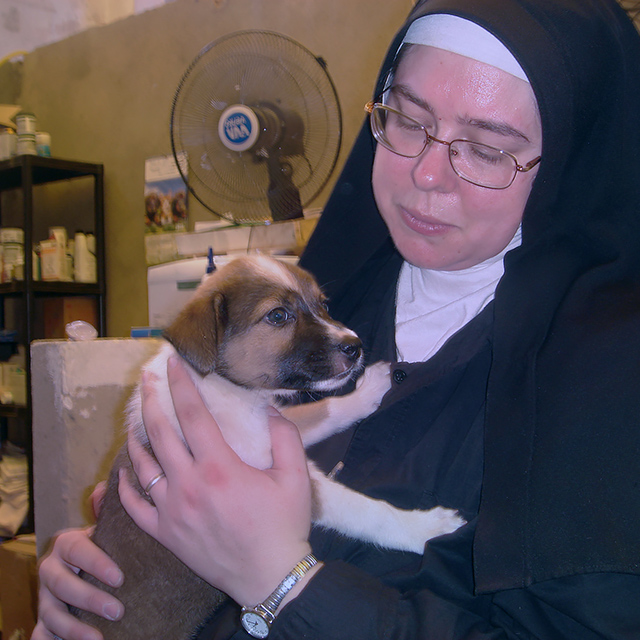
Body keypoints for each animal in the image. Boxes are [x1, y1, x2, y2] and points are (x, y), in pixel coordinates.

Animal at [74, 255, 464, 640]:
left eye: (323, 304)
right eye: (278, 316)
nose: (354, 346)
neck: (222, 386)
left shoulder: (275, 424)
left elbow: (322, 410)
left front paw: (367, 392)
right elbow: (366, 512)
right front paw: (425, 529)